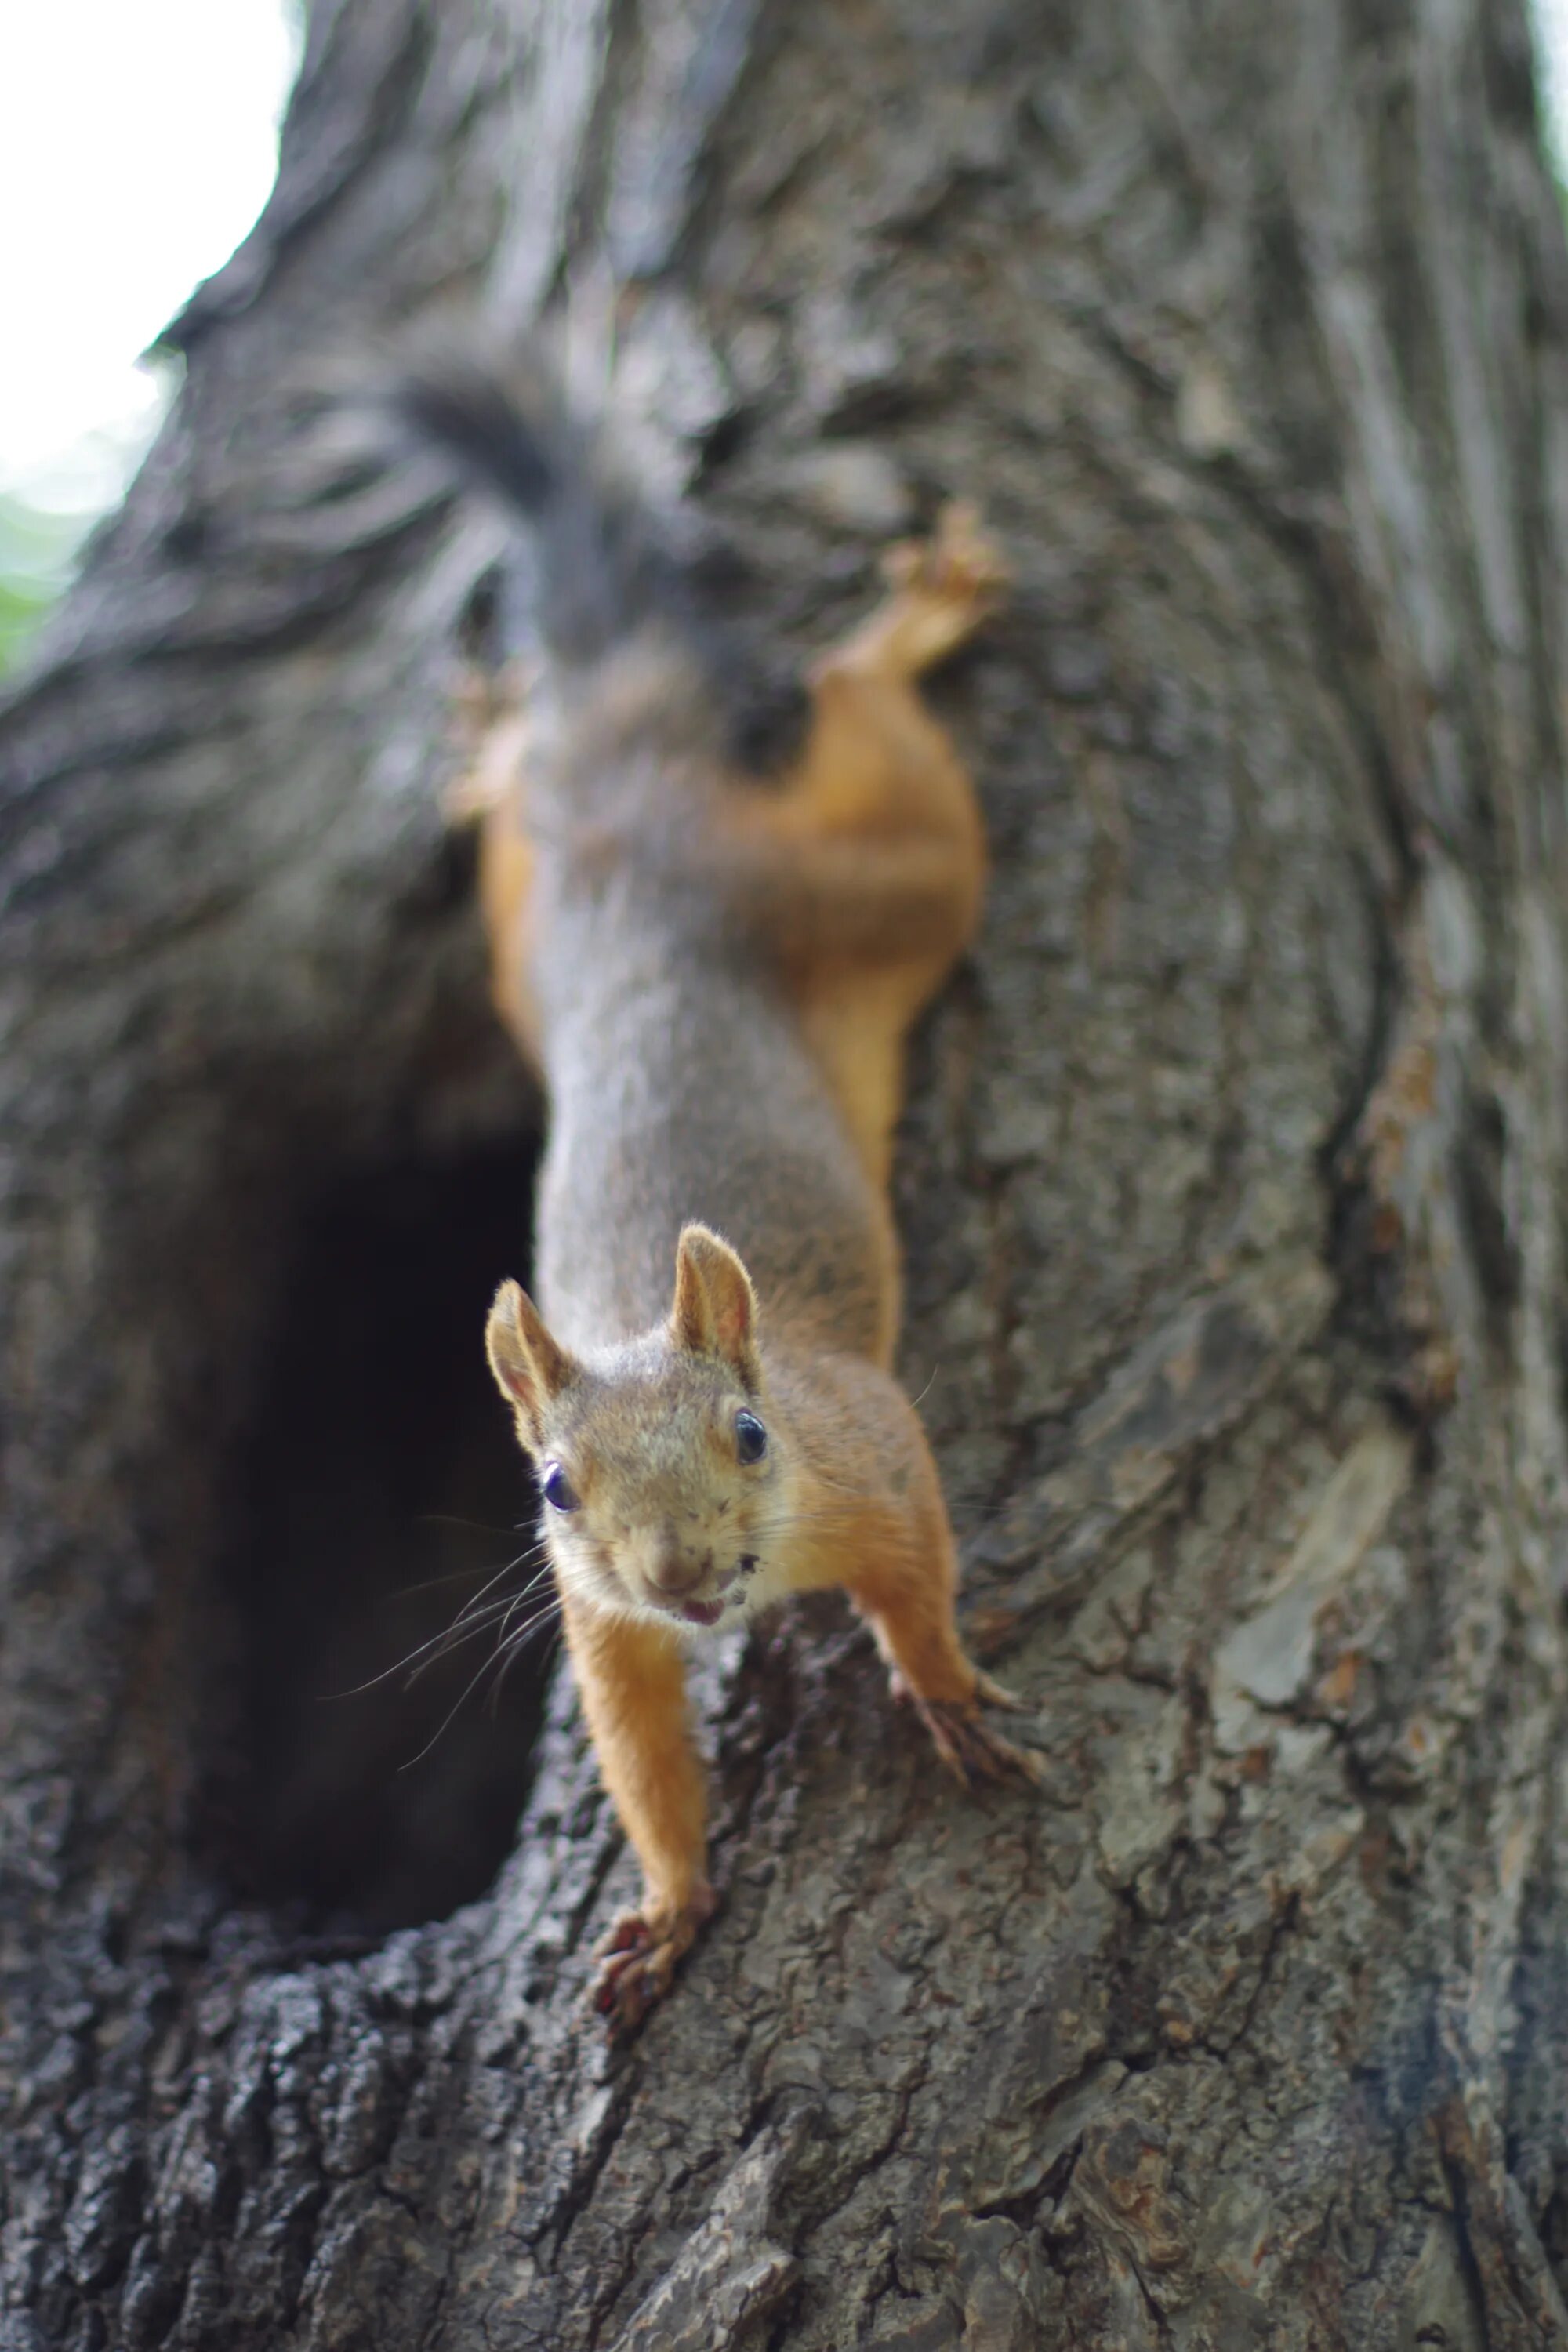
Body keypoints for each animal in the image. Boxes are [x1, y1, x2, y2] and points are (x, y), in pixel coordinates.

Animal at [399, 358, 1034, 2032]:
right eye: (555, 1487)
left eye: (749, 1434)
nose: (683, 1575)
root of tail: (636, 845)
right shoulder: (599, 1622)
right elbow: (642, 1758)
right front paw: (672, 1904)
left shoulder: (873, 1449)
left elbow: (921, 1580)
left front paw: (942, 1691)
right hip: (527, 918)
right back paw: (499, 739)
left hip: (884, 890)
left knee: (868, 720)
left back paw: (920, 615)